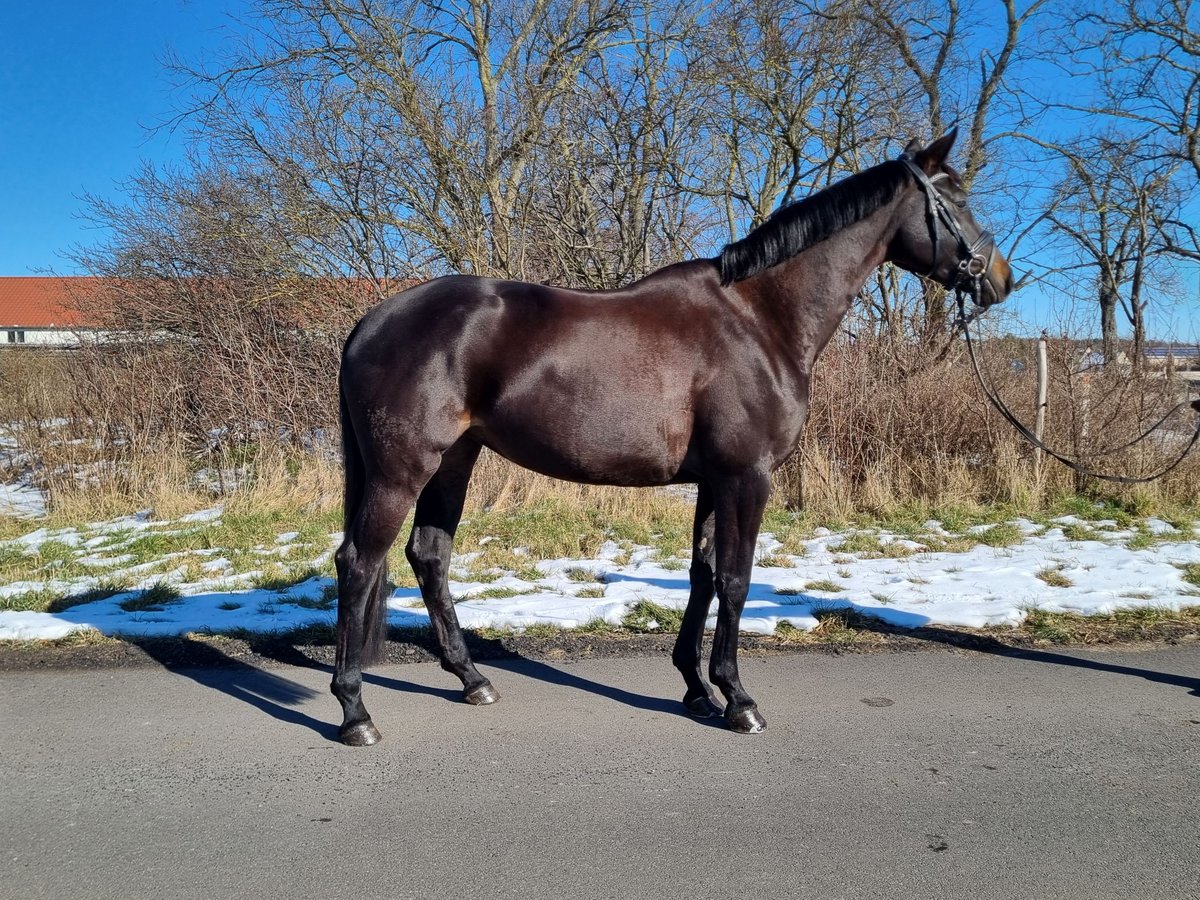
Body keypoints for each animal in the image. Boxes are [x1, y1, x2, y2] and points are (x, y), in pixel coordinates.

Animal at [331, 128, 1012, 748]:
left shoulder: (713, 480)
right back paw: (355, 711)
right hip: (402, 469)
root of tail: (370, 321)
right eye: (956, 197)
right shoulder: (746, 477)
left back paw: (471, 678)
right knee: (358, 561)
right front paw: (739, 700)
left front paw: (697, 688)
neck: (759, 321)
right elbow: (736, 579)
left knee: (429, 555)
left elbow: (703, 574)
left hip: (455, 459)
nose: (1000, 279)